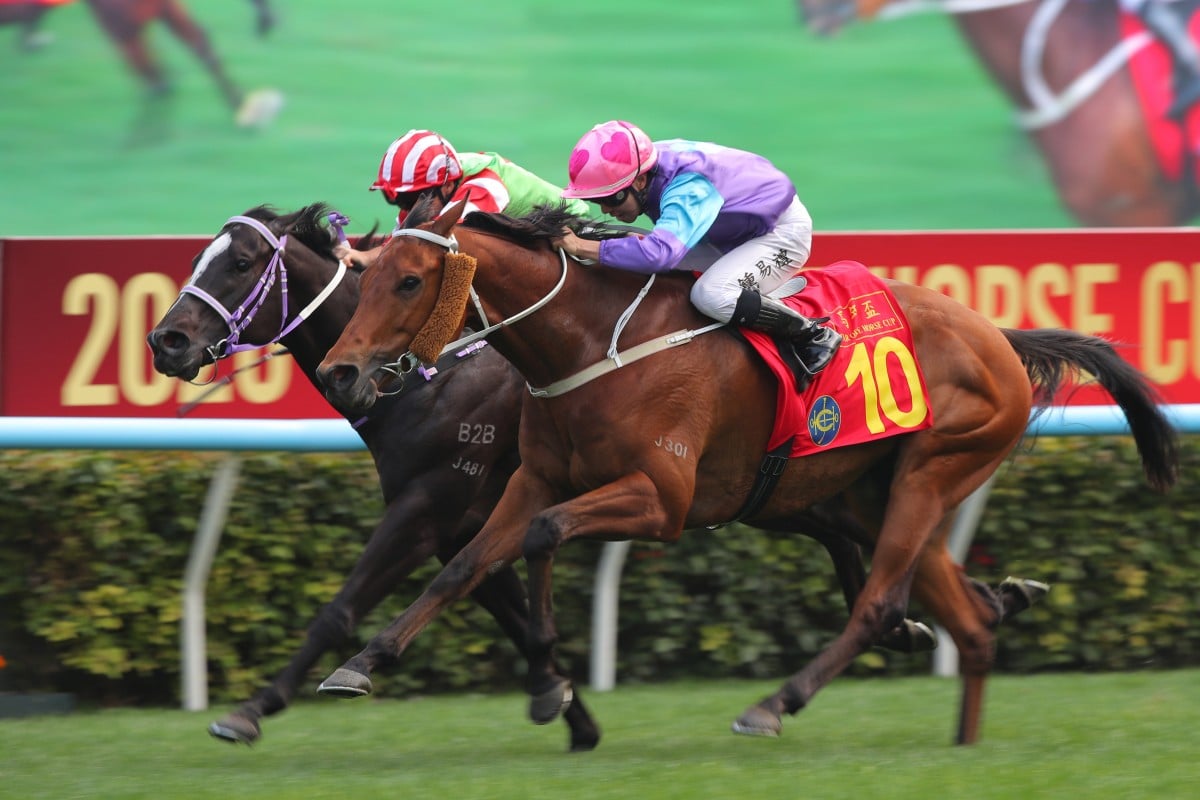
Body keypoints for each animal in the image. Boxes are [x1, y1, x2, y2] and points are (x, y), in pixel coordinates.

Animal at [144, 203, 939, 750]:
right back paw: (918, 623)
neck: (434, 378)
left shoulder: (427, 507)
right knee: (844, 536)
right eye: (203, 255)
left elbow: (340, 609)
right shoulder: (463, 524)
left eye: (241, 262)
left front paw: (250, 711)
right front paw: (568, 707)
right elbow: (499, 601)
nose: (166, 340)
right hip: (769, 488)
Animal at [313, 201, 1178, 746]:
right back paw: (967, 721)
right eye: (367, 274)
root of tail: (997, 333)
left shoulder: (660, 500)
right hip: (880, 495)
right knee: (968, 621)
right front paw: (361, 664)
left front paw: (544, 679)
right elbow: (463, 562)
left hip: (933, 473)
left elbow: (543, 536)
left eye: (409, 281)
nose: (340, 373)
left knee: (879, 603)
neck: (591, 340)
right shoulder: (535, 478)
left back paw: (775, 704)